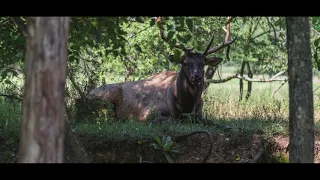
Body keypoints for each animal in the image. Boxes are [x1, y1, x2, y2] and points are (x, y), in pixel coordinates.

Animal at [85, 16, 235, 122]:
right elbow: (171, 120)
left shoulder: (199, 114)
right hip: (104, 99)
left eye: (203, 63)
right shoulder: (150, 114)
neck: (186, 106)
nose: (196, 77)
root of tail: (86, 97)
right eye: (185, 63)